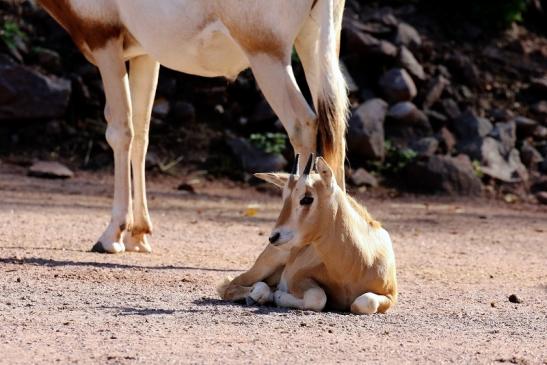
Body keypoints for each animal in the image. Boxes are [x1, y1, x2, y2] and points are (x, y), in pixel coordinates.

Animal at [36, 0, 348, 252]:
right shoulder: (144, 54)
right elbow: (141, 132)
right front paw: (139, 236)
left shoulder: (105, 41)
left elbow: (121, 131)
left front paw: (112, 236)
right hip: (315, 44)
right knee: (336, 131)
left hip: (267, 54)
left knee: (303, 124)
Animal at [219, 154, 398, 312]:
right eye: (284, 198)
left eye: (307, 198)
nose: (274, 237)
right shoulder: (297, 279)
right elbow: (317, 298)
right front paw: (278, 296)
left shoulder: (390, 295)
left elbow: (365, 302)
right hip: (264, 266)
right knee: (229, 286)